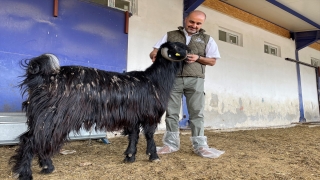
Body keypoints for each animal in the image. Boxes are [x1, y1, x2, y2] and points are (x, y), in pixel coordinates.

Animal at [10, 41, 190, 179]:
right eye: (177, 47)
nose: (190, 51)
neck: (156, 80)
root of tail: (44, 76)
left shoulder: (132, 117)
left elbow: (133, 135)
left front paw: (130, 156)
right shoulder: (150, 115)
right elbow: (150, 135)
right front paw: (154, 156)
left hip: (43, 116)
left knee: (40, 139)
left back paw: (47, 167)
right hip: (53, 116)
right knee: (32, 140)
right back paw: (26, 172)